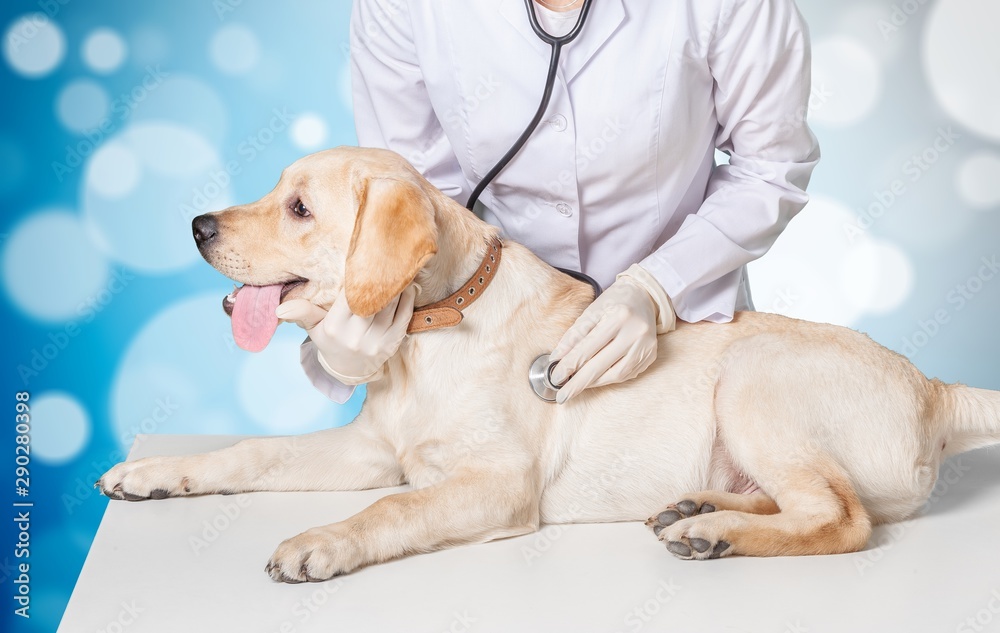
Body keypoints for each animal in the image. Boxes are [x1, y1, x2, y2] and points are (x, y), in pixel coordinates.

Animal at [95, 146, 1000, 580]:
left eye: (299, 208)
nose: (198, 226)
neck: (428, 334)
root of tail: (936, 387)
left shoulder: (496, 482)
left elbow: (393, 508)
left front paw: (323, 540)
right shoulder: (373, 449)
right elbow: (254, 450)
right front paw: (154, 474)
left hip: (755, 377)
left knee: (842, 518)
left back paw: (712, 533)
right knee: (809, 501)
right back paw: (701, 507)